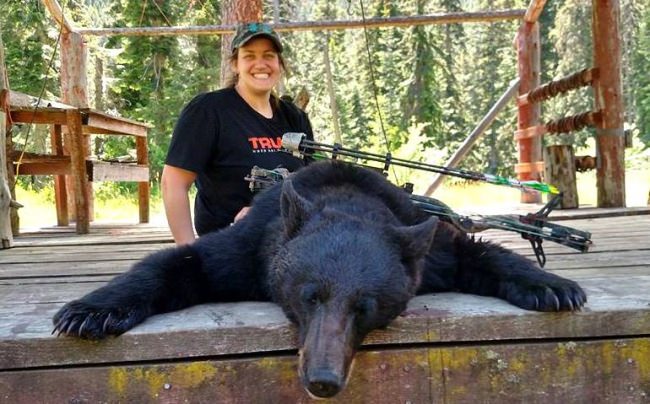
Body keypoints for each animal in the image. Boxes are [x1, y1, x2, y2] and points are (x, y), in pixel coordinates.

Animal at [52, 160, 586, 398]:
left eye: (365, 308)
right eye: (310, 296)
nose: (323, 381)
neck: (346, 199)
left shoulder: (425, 246)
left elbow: (479, 253)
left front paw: (553, 286)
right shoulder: (251, 247)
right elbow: (179, 264)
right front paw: (89, 312)